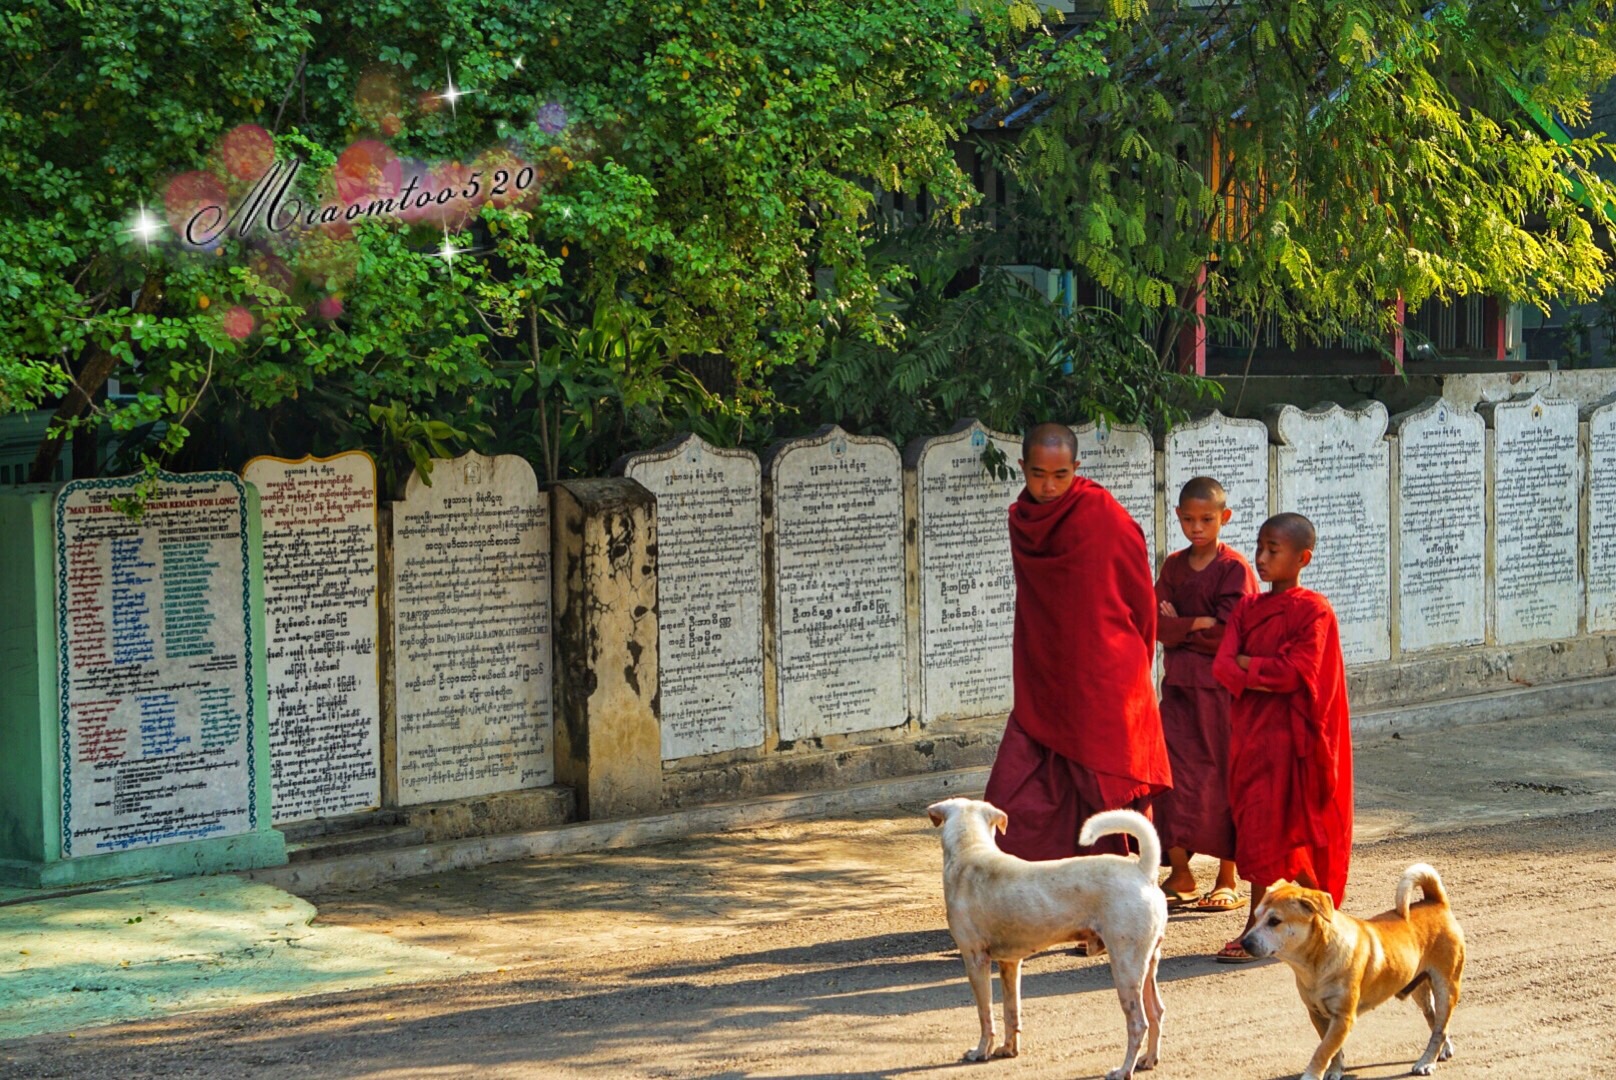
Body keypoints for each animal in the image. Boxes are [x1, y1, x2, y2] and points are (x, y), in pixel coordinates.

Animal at [930, 798, 1169, 1073]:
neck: (971, 848)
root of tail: (1143, 871)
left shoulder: (975, 960)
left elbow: (985, 1014)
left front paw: (981, 1052)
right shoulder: (1010, 963)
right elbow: (1011, 1010)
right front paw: (1008, 1049)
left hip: (1125, 965)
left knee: (1138, 1022)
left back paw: (1123, 1071)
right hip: (1147, 961)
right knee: (1156, 1012)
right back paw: (1149, 1059)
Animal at [1234, 860, 1467, 1080]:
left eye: (1275, 921)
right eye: (1256, 916)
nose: (1244, 943)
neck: (1314, 965)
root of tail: (1436, 902)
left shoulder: (1343, 1017)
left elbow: (1322, 1051)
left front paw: (1312, 1075)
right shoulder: (1317, 1013)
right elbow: (1331, 1049)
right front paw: (1335, 1070)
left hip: (1446, 986)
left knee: (1439, 1028)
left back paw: (1426, 1062)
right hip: (1420, 988)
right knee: (1434, 1018)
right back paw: (1443, 1049)